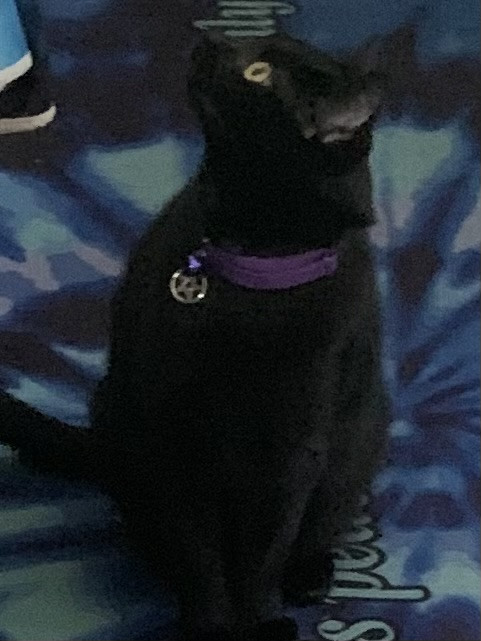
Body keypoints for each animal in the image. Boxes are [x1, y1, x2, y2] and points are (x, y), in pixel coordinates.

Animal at [0, 32, 391, 641]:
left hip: (357, 439)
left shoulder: (291, 452)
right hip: (121, 420)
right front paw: (208, 623)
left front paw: (259, 620)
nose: (211, 39)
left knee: (320, 523)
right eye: (254, 52)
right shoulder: (173, 437)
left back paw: (308, 574)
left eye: (258, 73)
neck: (250, 276)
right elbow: (199, 554)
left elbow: (263, 555)